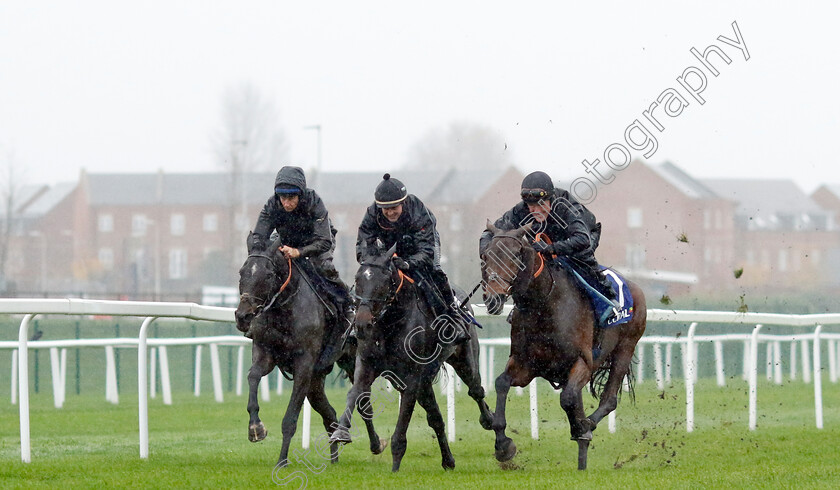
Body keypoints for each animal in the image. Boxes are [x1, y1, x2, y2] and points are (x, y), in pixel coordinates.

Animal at [233, 235, 384, 468]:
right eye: (242, 272)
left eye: (268, 274)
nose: (243, 316)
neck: (284, 308)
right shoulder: (265, 352)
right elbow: (253, 376)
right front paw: (255, 427)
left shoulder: (304, 366)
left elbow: (290, 418)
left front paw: (282, 461)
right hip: (316, 380)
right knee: (329, 413)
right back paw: (334, 457)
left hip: (352, 362)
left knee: (363, 403)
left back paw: (375, 444)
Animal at [332, 249, 496, 470]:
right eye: (358, 280)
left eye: (383, 281)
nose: (362, 324)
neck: (390, 324)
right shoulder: (366, 365)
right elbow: (355, 394)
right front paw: (341, 430)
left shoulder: (411, 377)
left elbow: (402, 423)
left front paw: (395, 468)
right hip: (425, 381)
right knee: (435, 417)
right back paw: (448, 460)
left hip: (464, 359)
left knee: (476, 390)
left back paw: (491, 423)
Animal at [480, 223, 648, 470]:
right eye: (485, 256)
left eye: (515, 255)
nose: (493, 298)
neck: (544, 304)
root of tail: (636, 287)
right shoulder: (526, 365)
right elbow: (502, 383)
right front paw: (503, 445)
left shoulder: (583, 362)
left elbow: (568, 398)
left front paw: (581, 428)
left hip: (625, 348)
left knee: (608, 399)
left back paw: (587, 425)